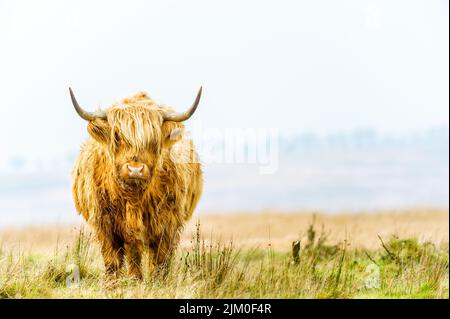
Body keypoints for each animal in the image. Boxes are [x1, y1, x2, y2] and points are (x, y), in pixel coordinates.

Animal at [69, 88, 203, 282]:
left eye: (153, 140)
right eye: (117, 136)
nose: (135, 169)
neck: (133, 199)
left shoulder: (167, 224)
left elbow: (157, 259)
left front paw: (152, 282)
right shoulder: (104, 224)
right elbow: (113, 260)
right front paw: (114, 283)